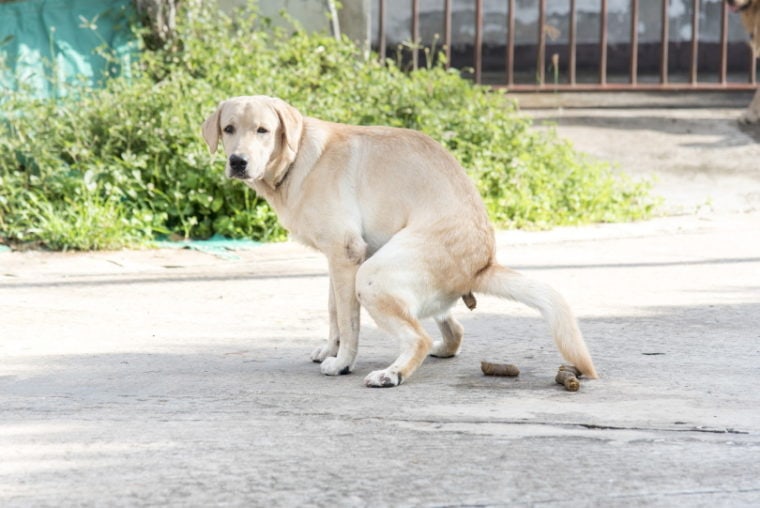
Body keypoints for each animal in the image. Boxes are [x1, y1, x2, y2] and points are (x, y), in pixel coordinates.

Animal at [202, 95, 600, 386]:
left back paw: (392, 373)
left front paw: (342, 362)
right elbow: (334, 312)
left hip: (372, 277)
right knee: (453, 333)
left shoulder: (346, 255)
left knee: (418, 338)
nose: (237, 161)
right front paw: (329, 349)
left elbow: (348, 322)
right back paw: (435, 350)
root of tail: (482, 263)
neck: (298, 160)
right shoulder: (336, 260)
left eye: (263, 130)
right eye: (229, 128)